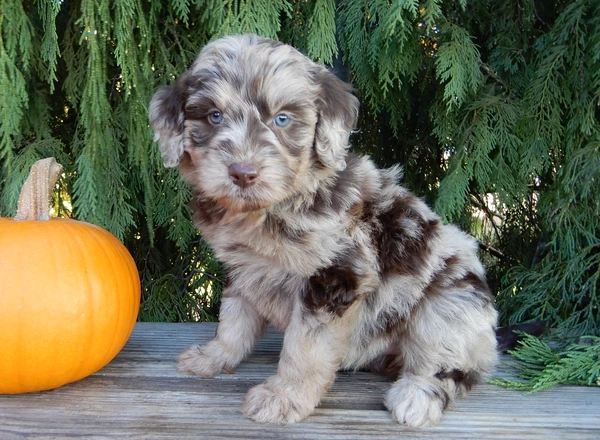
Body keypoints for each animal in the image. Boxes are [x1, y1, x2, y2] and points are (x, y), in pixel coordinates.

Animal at [150, 35, 496, 430]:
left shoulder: (337, 276)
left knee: (453, 364)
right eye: (214, 116)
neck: (273, 207)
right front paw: (215, 356)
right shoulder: (244, 267)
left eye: (282, 119)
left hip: (449, 306)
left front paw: (283, 397)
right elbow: (234, 318)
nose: (242, 172)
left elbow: (305, 348)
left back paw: (418, 395)